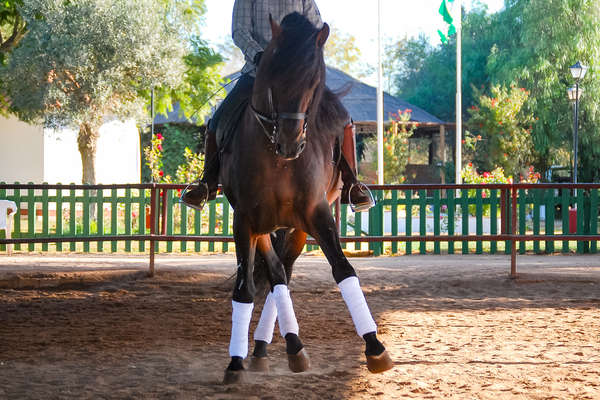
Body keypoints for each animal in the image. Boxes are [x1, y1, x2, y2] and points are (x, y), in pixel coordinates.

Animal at [218, 10, 392, 382]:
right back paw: (272, 348)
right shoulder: (245, 221)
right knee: (276, 275)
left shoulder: (317, 214)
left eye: (314, 81)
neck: (277, 160)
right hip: (263, 227)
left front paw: (375, 347)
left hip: (295, 228)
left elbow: (344, 271)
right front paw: (235, 361)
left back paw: (284, 348)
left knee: (282, 274)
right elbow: (244, 288)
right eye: (272, 71)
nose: (290, 142)